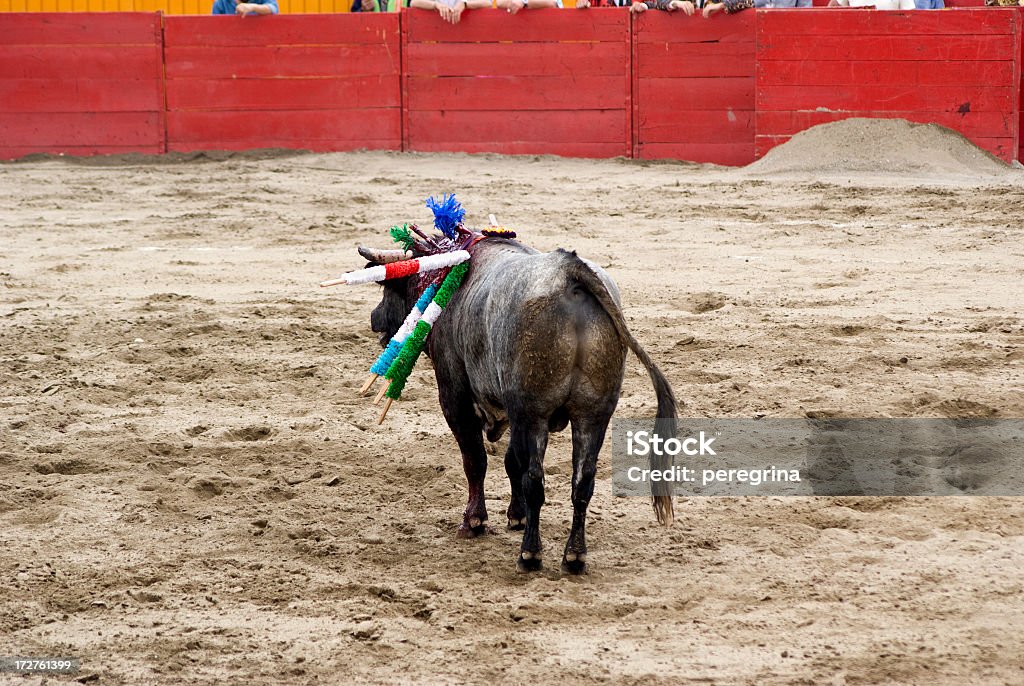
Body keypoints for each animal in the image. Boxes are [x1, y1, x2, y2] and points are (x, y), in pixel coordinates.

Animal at [368, 239, 679, 573]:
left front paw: (474, 521)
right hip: (593, 415)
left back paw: (530, 554)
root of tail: (569, 272)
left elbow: (476, 460)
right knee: (582, 482)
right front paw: (516, 516)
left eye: (390, 289)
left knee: (534, 479)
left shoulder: (457, 399)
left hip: (534, 414)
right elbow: (510, 461)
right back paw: (574, 556)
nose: (374, 317)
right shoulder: (513, 413)